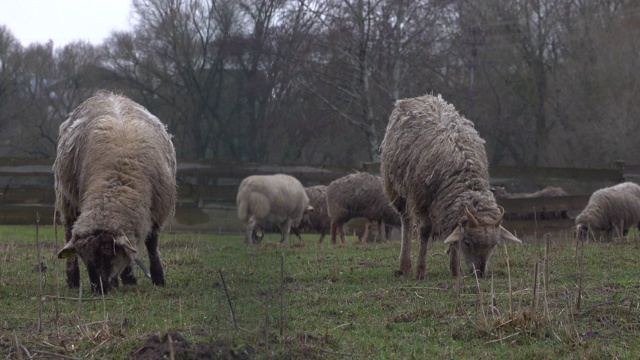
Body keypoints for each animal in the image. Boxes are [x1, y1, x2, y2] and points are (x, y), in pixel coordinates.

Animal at [53, 91, 175, 294]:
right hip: (67, 201)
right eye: (84, 257)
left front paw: (157, 279)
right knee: (68, 232)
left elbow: (151, 244)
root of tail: (109, 94)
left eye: (108, 252)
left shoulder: (157, 211)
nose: (98, 289)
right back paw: (74, 280)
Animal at [380, 94, 520, 280]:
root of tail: (424, 96)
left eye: (495, 244)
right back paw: (404, 265)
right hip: (397, 187)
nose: (480, 273)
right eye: (467, 243)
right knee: (406, 220)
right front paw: (420, 270)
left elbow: (453, 231)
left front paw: (455, 270)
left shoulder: (450, 203)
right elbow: (425, 230)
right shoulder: (421, 199)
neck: (463, 173)